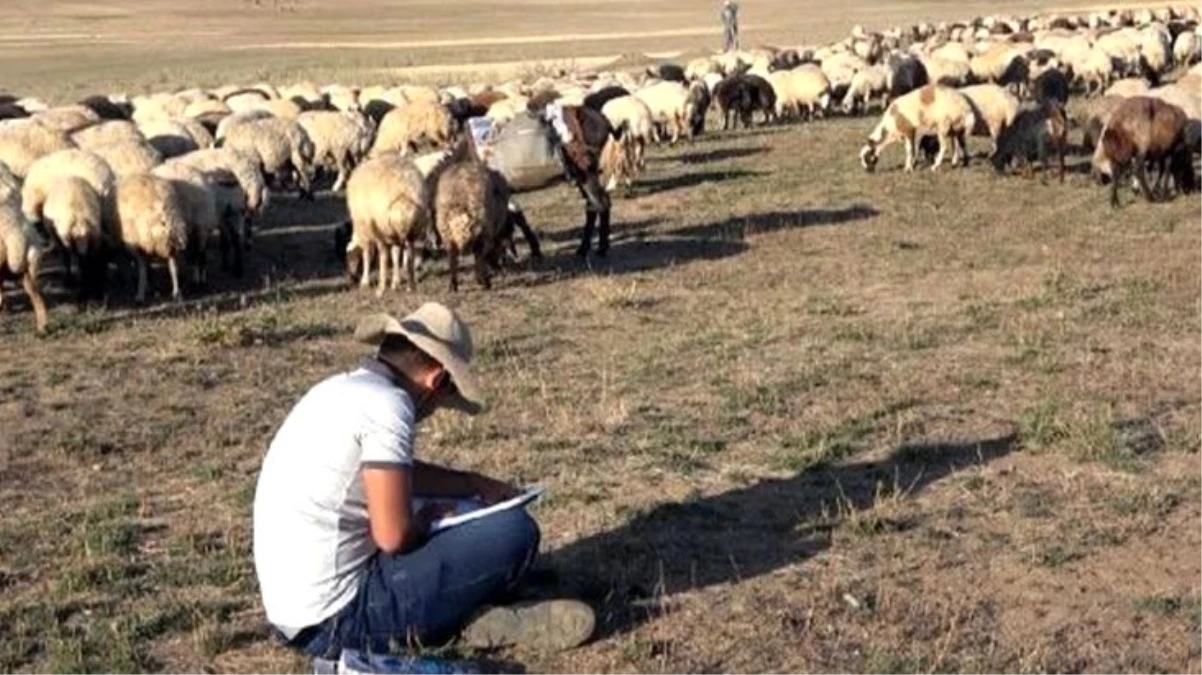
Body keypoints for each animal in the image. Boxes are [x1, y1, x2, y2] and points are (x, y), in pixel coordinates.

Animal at [341, 153, 430, 293]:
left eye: (351, 258)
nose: (351, 280)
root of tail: (404, 191)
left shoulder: (368, 231)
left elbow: (367, 254)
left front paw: (365, 281)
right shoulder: (393, 234)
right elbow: (395, 255)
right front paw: (396, 282)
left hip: (382, 229)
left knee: (385, 255)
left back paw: (382, 287)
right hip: (411, 231)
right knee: (408, 254)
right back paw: (410, 285)